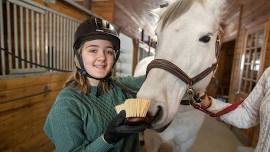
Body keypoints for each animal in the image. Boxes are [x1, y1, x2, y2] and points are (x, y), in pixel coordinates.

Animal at [136, 0, 227, 151]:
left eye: (206, 38)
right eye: (157, 37)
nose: (150, 109)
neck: (180, 114)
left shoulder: (185, 144)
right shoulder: (153, 141)